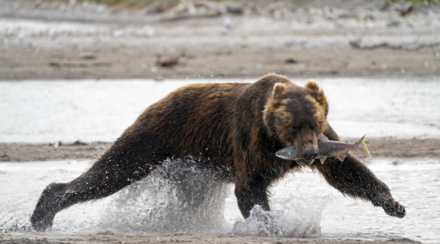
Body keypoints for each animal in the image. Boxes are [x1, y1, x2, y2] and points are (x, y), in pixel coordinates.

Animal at [31, 74, 406, 231]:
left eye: (314, 122)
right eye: (292, 124)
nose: (310, 153)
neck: (274, 139)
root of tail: (158, 100)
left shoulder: (328, 138)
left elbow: (345, 171)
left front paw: (394, 204)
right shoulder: (250, 139)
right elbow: (250, 187)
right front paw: (270, 223)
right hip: (155, 137)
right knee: (111, 171)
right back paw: (43, 212)